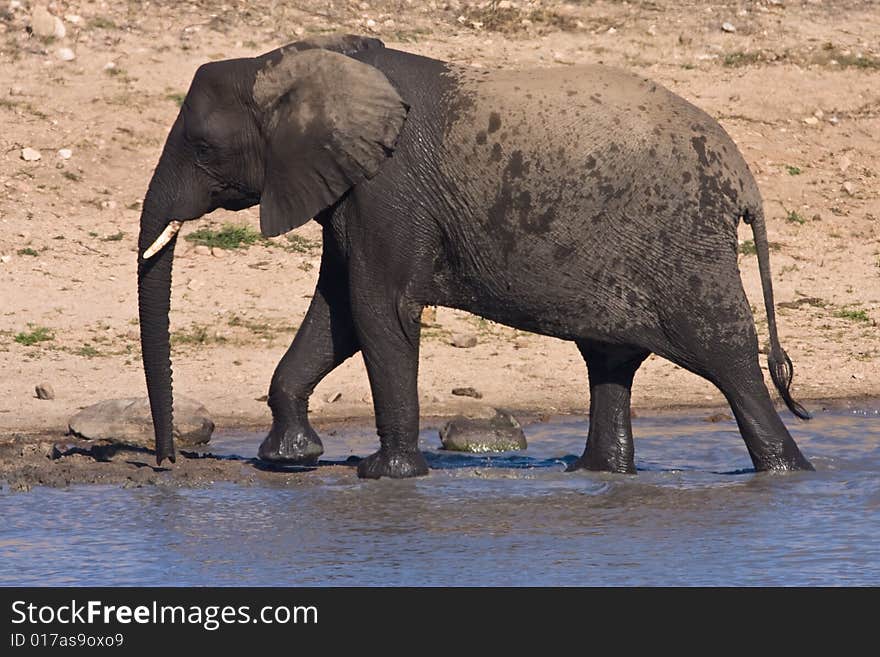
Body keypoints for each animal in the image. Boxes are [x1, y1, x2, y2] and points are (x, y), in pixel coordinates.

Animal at [134, 33, 816, 480]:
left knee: (729, 364)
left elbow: (377, 308)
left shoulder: (390, 188)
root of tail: (745, 179)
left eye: (202, 146)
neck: (294, 64)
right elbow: (338, 314)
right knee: (611, 361)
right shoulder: (355, 190)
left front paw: (385, 474)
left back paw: (787, 472)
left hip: (685, 246)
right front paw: (289, 459)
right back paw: (593, 473)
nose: (166, 464)